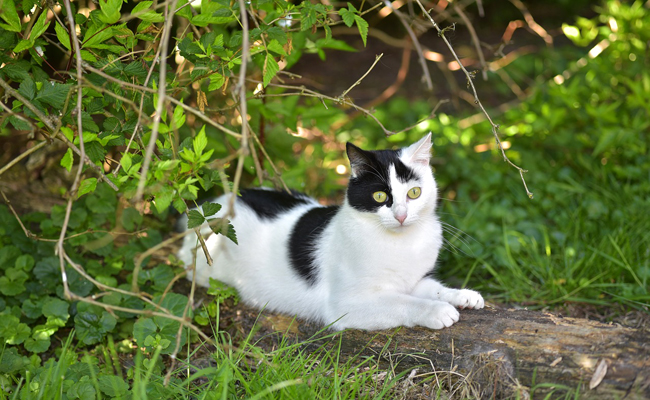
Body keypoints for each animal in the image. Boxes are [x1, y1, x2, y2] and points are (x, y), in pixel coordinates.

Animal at [176, 133, 480, 330]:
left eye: (414, 193)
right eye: (380, 196)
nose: (402, 215)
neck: (401, 243)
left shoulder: (415, 280)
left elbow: (432, 288)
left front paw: (462, 295)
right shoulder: (346, 305)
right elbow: (403, 302)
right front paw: (438, 311)